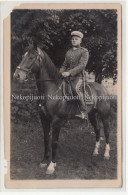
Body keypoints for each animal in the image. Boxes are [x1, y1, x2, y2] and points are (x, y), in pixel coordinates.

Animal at [13, 45, 111, 174]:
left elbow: (54, 142)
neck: (51, 89)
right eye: (23, 56)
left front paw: (51, 165)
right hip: (92, 115)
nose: (17, 75)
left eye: (31, 57)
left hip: (105, 116)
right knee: (97, 130)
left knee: (107, 131)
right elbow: (46, 139)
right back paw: (95, 152)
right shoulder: (44, 119)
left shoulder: (57, 121)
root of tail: (102, 88)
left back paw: (106, 154)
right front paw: (44, 161)